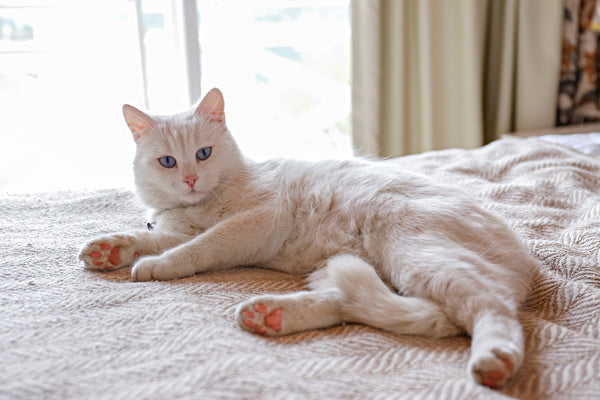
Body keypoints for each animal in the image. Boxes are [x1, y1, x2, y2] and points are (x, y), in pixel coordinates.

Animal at [81, 86, 540, 388]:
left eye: (204, 154)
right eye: (168, 162)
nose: (191, 179)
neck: (199, 206)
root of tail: (523, 260)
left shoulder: (253, 222)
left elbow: (196, 248)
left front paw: (157, 265)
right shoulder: (180, 226)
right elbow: (156, 237)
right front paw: (111, 249)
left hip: (421, 254)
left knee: (488, 309)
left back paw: (495, 360)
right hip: (367, 270)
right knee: (357, 304)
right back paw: (271, 315)